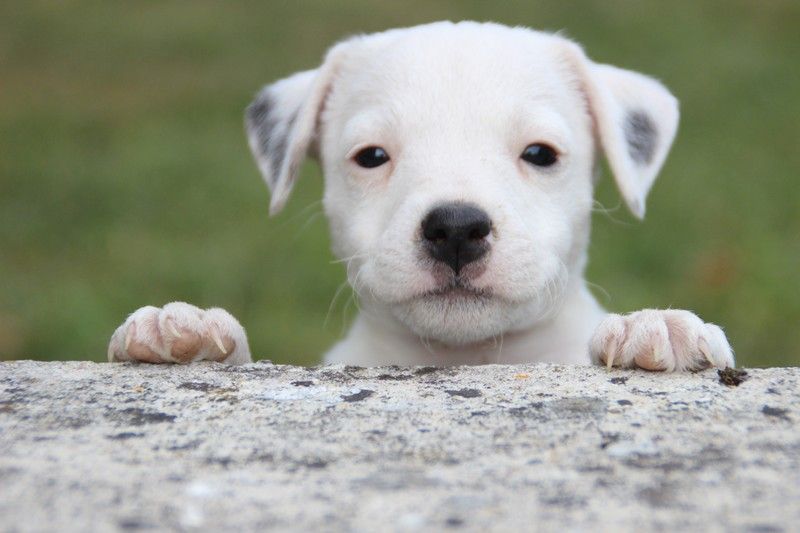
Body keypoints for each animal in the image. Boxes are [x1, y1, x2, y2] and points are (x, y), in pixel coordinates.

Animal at [108, 21, 734, 372]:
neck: (469, 355)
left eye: (539, 154)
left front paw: (659, 327)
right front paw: (184, 328)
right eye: (371, 156)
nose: (455, 228)